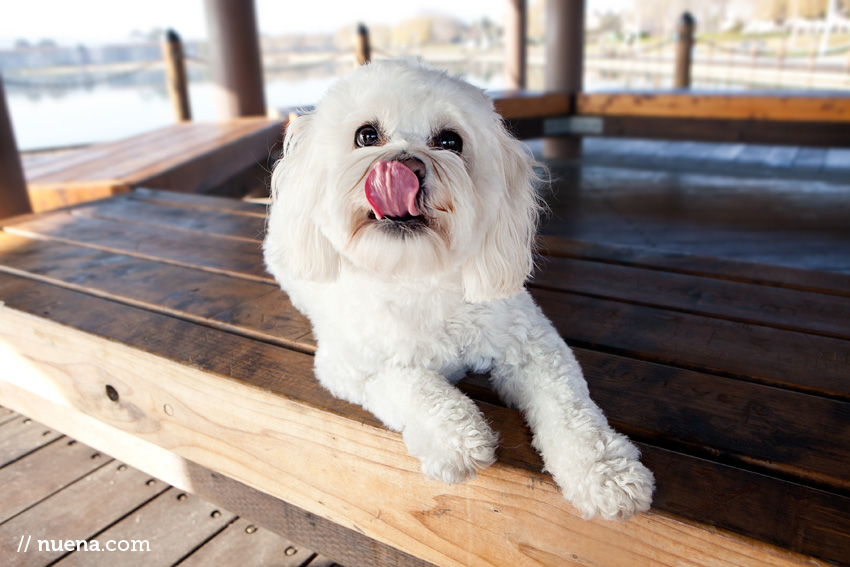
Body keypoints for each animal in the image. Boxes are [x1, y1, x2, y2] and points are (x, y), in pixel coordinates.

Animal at [262, 61, 652, 520]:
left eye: (450, 141)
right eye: (366, 136)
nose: (406, 164)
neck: (416, 273)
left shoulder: (535, 344)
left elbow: (570, 408)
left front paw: (606, 472)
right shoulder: (351, 366)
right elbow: (414, 385)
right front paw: (459, 440)